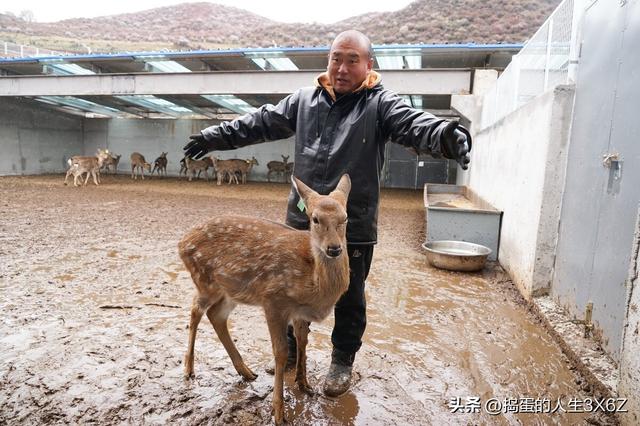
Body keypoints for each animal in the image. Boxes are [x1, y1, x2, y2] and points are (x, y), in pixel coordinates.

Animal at [178, 174, 352, 426]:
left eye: (345, 218)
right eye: (315, 219)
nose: (334, 248)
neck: (313, 284)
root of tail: (181, 243)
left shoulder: (299, 312)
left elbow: (303, 341)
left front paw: (305, 384)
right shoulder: (273, 300)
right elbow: (280, 352)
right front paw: (279, 412)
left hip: (231, 289)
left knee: (215, 315)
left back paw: (246, 371)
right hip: (204, 280)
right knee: (195, 310)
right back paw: (189, 369)